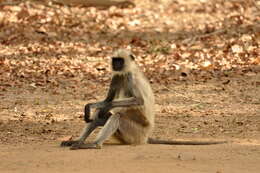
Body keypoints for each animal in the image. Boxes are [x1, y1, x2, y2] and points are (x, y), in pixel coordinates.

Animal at [60, 49, 226, 149]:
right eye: (115, 60)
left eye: (120, 60)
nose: (116, 64)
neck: (126, 71)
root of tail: (146, 137)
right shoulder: (116, 76)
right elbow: (106, 101)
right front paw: (89, 106)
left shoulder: (130, 77)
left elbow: (137, 101)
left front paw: (106, 107)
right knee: (100, 115)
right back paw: (78, 141)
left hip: (135, 133)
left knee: (117, 116)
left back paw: (94, 144)